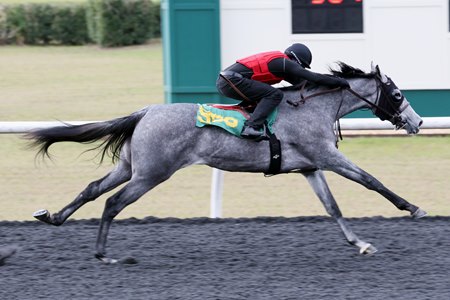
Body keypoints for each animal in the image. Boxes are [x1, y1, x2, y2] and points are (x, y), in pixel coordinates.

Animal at [29, 62, 426, 262]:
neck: (313, 107)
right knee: (112, 202)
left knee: (93, 189)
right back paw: (102, 254)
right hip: (152, 173)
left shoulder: (310, 166)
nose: (418, 122)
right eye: (396, 94)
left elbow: (333, 207)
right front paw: (413, 208)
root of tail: (145, 112)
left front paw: (359, 243)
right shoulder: (327, 156)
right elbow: (371, 181)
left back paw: (54, 217)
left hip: (130, 167)